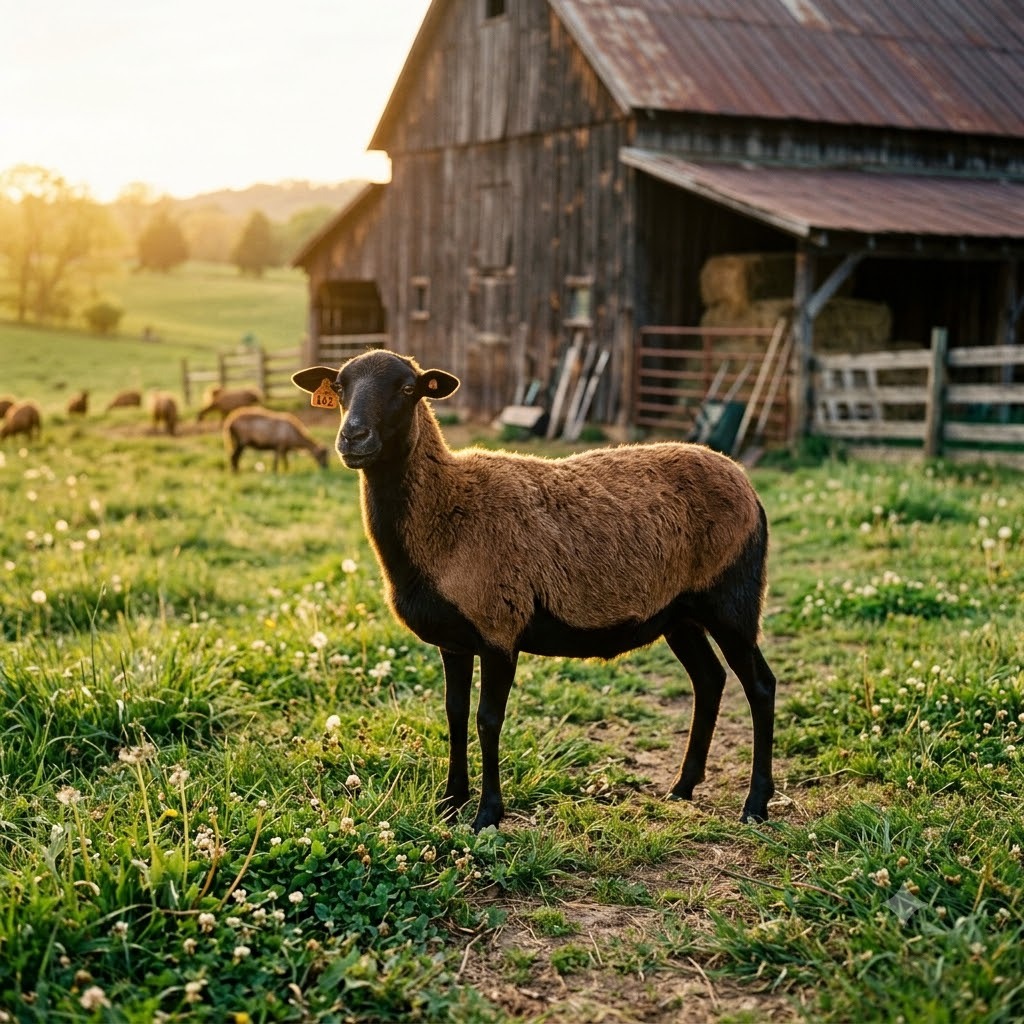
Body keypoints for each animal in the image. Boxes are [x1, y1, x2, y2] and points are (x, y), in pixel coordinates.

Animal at [292, 350, 777, 833]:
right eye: (340, 387)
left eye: (409, 389)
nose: (353, 437)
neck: (447, 510)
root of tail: (745, 482)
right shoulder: (454, 640)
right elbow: (454, 714)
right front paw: (450, 802)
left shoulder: (499, 628)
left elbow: (488, 720)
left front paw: (487, 814)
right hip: (680, 613)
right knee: (709, 680)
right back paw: (683, 787)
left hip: (732, 598)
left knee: (760, 686)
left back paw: (755, 804)